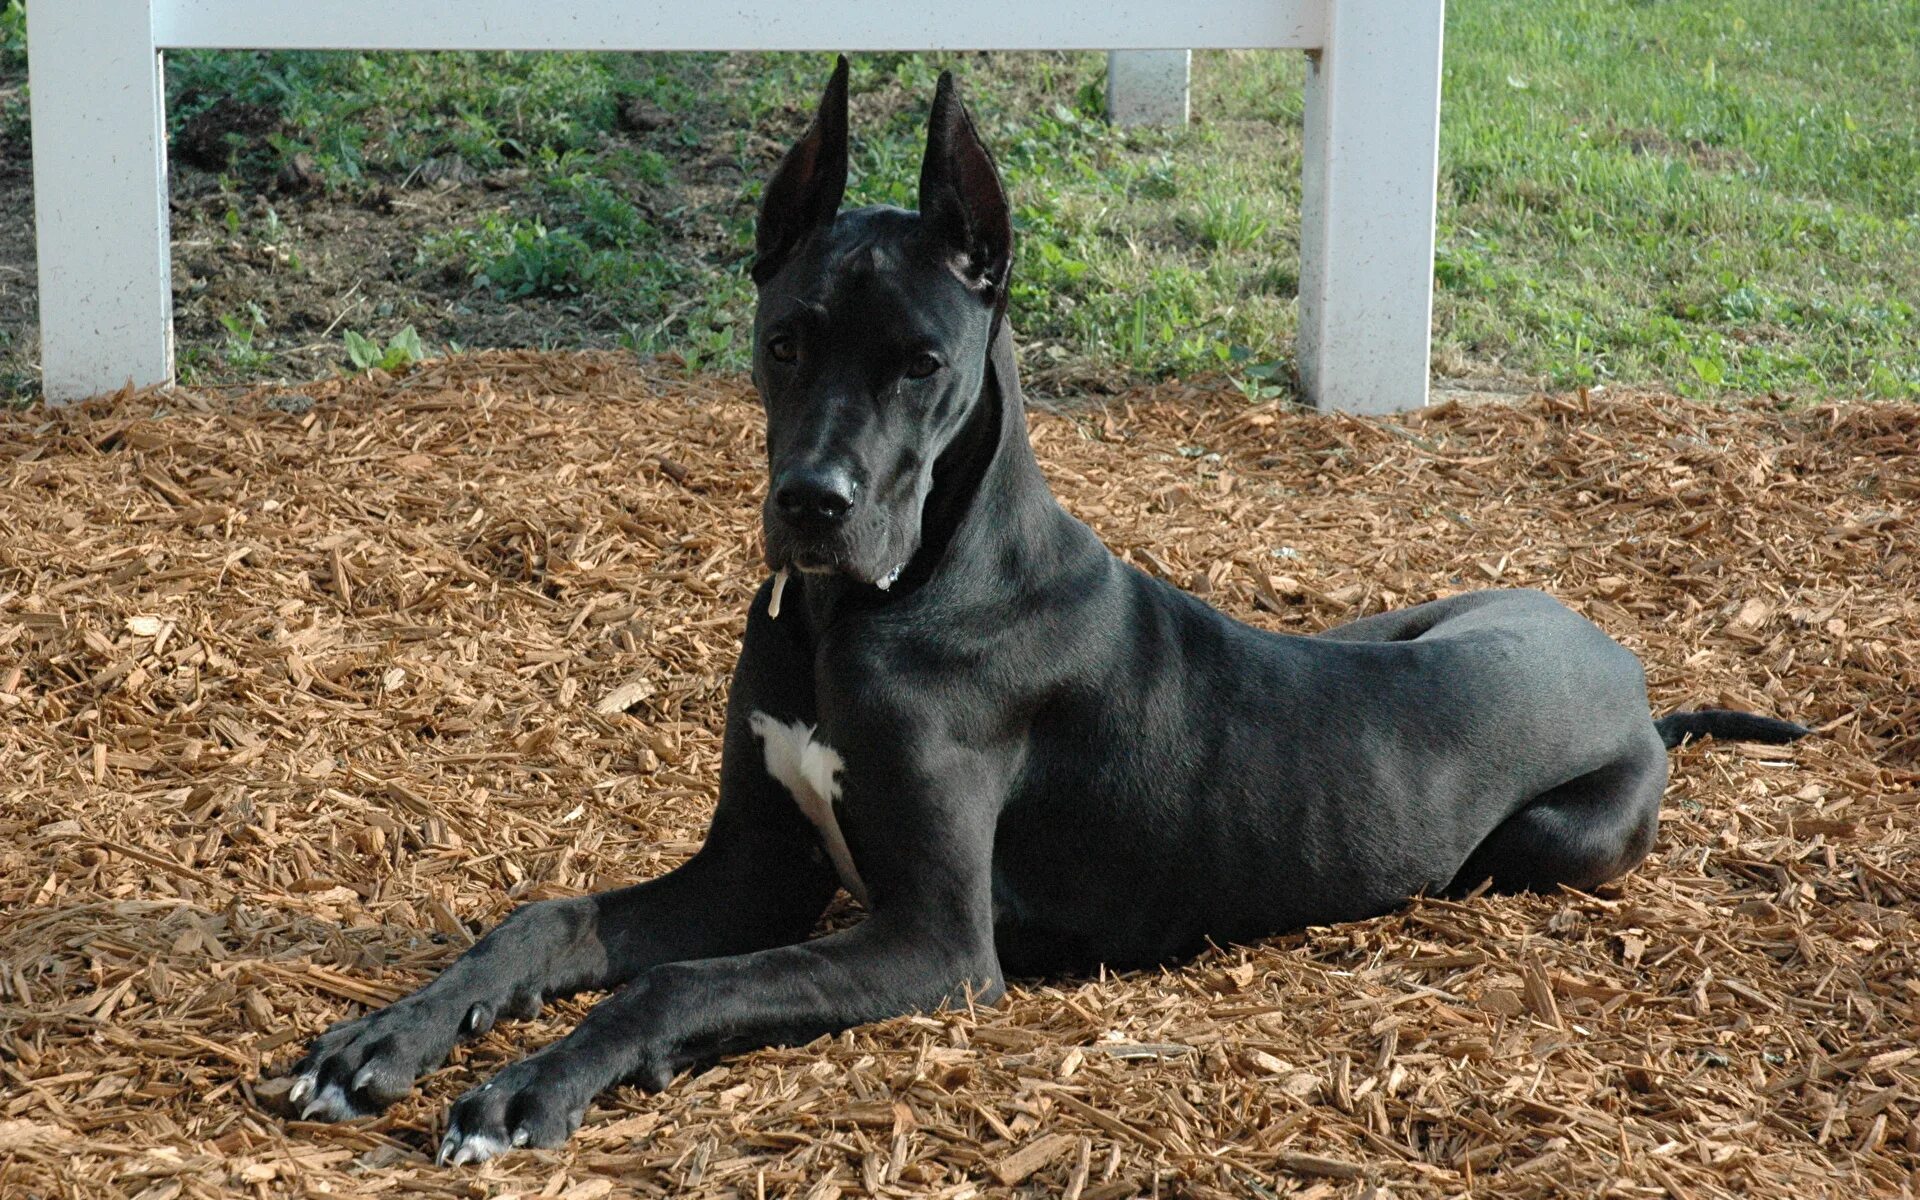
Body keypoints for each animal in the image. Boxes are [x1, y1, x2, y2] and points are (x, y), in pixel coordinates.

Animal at [280, 63, 1797, 1159]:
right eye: (785, 341)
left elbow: (676, 986)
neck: (869, 610)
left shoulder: (938, 944)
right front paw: (376, 1044)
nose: (813, 504)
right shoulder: (753, 868)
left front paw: (519, 1092)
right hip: (1394, 622)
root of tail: (1623, 664)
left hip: (1550, 841)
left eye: (920, 364)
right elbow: (542, 924)